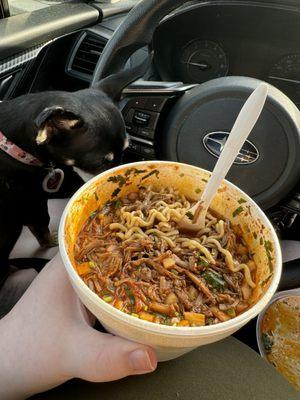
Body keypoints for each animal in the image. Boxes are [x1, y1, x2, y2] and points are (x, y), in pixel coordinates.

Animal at [0, 61, 146, 282]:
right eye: (99, 163)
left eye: (126, 151)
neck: (15, 147)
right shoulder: (33, 203)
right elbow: (42, 225)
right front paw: (51, 241)